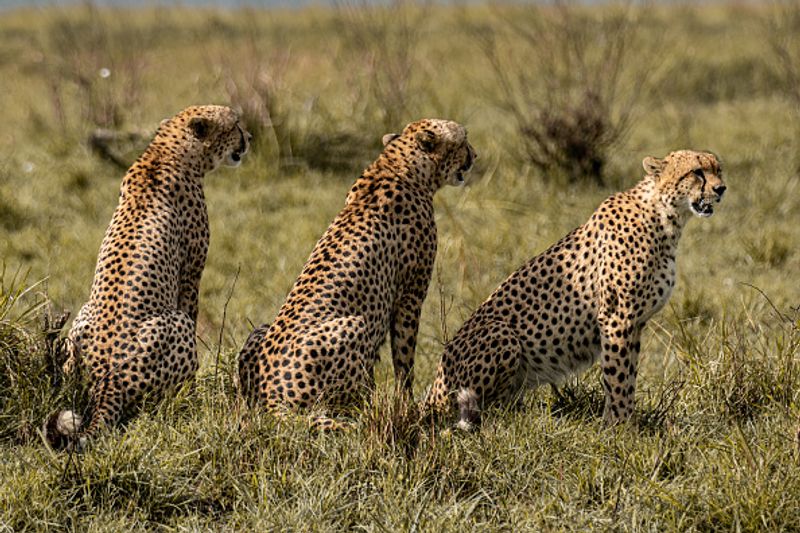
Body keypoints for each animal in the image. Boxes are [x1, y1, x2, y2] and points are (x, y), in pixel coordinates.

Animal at [43, 105, 250, 448]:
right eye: (235, 124)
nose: (250, 137)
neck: (167, 150)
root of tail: (108, 380)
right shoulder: (191, 274)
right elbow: (193, 311)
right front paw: (196, 388)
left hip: (82, 316)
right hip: (173, 323)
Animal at [238, 118, 476, 426]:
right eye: (463, 141)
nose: (475, 155)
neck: (398, 164)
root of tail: (271, 399)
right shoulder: (410, 296)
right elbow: (404, 358)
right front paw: (405, 406)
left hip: (261, 332)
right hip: (354, 325)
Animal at [422, 150, 728, 428]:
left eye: (718, 169)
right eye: (697, 172)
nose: (721, 189)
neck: (665, 218)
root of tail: (431, 393)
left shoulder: (635, 323)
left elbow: (627, 375)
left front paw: (622, 423)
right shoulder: (618, 317)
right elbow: (618, 377)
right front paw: (621, 428)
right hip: (502, 334)